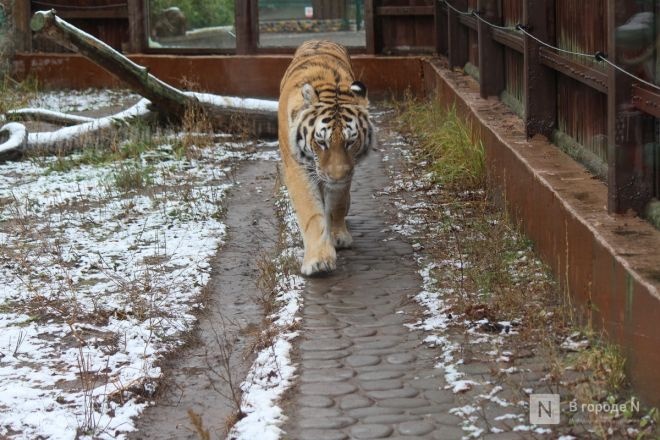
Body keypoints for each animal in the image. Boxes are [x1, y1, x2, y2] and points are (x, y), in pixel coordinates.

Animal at [278, 40, 375, 276]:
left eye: (350, 141)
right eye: (321, 142)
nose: (336, 176)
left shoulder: (347, 171)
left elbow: (337, 203)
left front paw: (338, 236)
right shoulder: (298, 168)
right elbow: (311, 213)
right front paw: (319, 260)